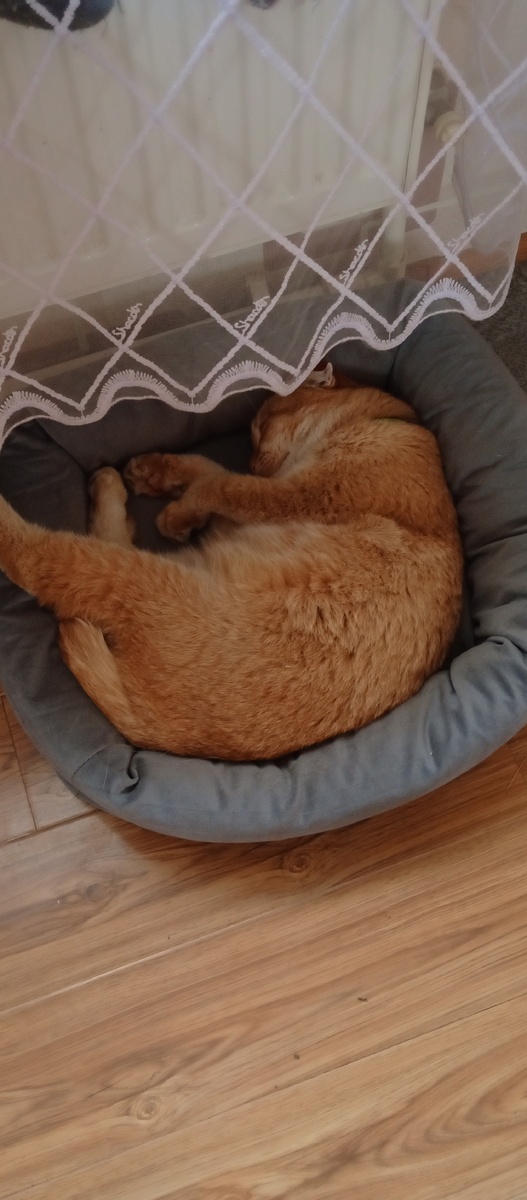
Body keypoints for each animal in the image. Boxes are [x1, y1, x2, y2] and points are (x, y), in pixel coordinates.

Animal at [0, 382, 463, 760]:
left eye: (258, 429)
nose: (255, 461)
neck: (388, 423)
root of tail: (157, 733)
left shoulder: (293, 495)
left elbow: (220, 484)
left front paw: (174, 511)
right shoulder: (254, 506)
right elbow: (211, 471)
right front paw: (157, 473)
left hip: (136, 577)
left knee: (39, 559)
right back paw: (115, 482)